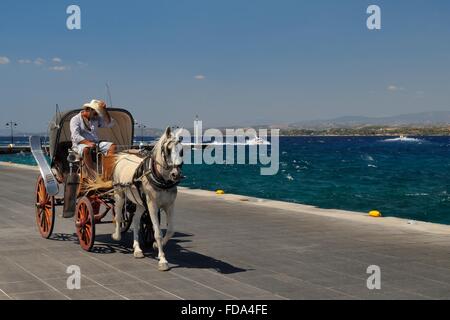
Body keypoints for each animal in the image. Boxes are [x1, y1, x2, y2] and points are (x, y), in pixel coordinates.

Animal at [111, 126, 184, 272]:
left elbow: (171, 230)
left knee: (135, 220)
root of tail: (123, 155)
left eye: (181, 150)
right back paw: (117, 235)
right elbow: (158, 233)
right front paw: (163, 260)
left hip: (140, 202)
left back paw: (137, 249)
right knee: (118, 215)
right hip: (119, 193)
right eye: (168, 150)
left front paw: (156, 245)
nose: (176, 174)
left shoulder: (169, 205)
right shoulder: (152, 205)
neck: (161, 178)